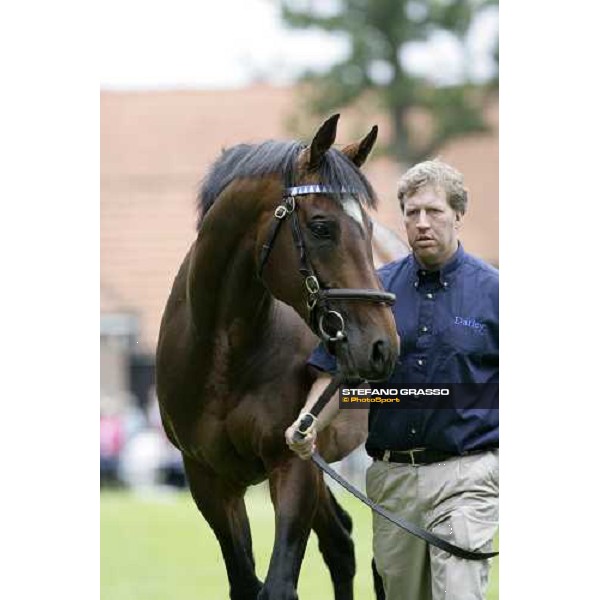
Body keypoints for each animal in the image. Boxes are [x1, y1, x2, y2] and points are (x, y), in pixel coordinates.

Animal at [155, 115, 398, 596]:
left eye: (367, 227)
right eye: (322, 226)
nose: (382, 345)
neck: (223, 355)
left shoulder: (292, 466)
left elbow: (279, 584)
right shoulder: (209, 479)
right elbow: (245, 583)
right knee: (341, 542)